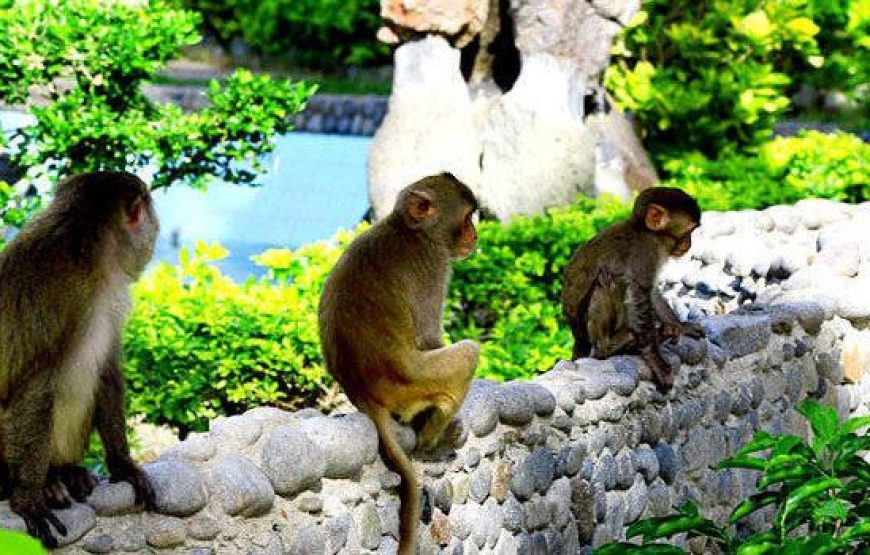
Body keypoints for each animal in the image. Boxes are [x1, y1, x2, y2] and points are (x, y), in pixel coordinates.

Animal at [0, 171, 158, 547]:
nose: (155, 225)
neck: (87, 244)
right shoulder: (60, 293)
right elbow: (33, 381)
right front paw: (28, 496)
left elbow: (107, 369)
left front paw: (122, 463)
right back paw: (37, 481)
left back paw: (64, 470)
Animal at [319, 172, 480, 555]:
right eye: (467, 218)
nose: (475, 235)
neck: (409, 230)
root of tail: (364, 395)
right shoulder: (434, 264)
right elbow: (429, 338)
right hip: (413, 383)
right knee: (467, 354)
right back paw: (432, 444)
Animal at [561, 187, 704, 392]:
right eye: (689, 231)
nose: (689, 244)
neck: (645, 231)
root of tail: (577, 339)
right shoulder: (645, 252)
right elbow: (639, 294)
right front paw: (657, 362)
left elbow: (651, 292)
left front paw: (680, 326)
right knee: (607, 279)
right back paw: (609, 345)